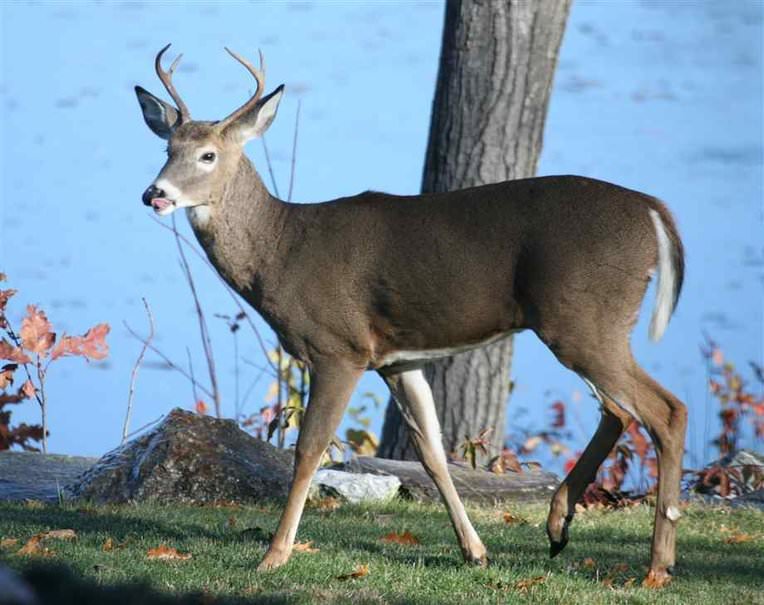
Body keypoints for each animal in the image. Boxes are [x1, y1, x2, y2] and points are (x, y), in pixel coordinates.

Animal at [136, 46, 688, 584]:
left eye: (208, 154)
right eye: (168, 149)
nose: (154, 193)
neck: (281, 251)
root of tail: (654, 210)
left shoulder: (339, 347)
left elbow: (309, 449)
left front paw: (274, 555)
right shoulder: (398, 359)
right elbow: (431, 453)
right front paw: (475, 551)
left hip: (585, 318)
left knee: (665, 410)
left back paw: (657, 566)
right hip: (587, 324)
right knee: (619, 411)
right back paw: (559, 526)